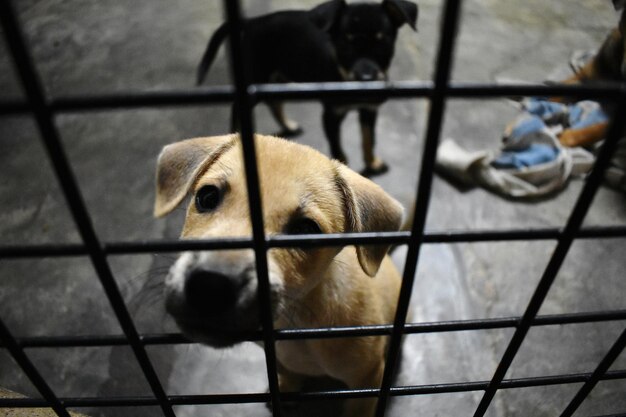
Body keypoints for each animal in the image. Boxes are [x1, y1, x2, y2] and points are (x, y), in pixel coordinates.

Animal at [154, 134, 402, 416]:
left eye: (306, 230)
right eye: (207, 196)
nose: (209, 287)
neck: (297, 320)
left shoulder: (367, 380)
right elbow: (288, 373)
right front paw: (286, 390)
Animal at [197, 0, 416, 176]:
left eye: (383, 44)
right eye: (345, 45)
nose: (366, 78)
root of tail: (252, 21)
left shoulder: (369, 110)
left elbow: (369, 139)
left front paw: (372, 163)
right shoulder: (331, 116)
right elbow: (339, 151)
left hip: (280, 76)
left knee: (274, 101)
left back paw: (288, 126)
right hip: (255, 77)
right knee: (239, 107)